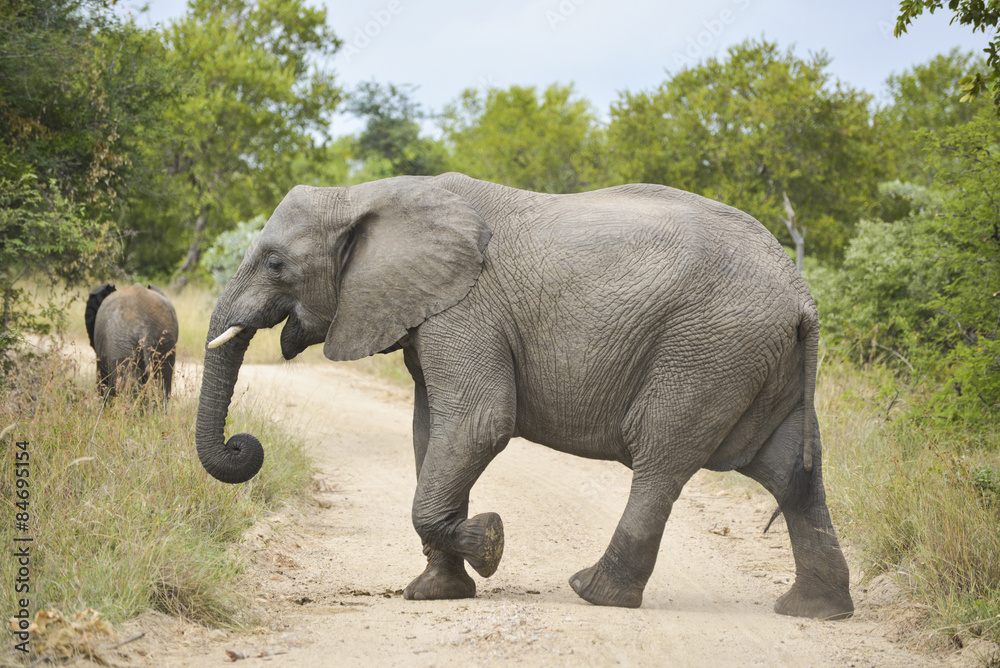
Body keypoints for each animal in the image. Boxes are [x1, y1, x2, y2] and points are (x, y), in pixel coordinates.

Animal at [195, 172, 854, 620]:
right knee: (790, 475)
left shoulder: (465, 310)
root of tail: (804, 295)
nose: (244, 444)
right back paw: (814, 611)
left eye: (275, 263)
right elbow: (430, 433)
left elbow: (477, 423)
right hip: (755, 359)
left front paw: (489, 543)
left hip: (706, 349)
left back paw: (593, 594)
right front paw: (437, 593)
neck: (364, 195)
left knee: (661, 456)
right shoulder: (431, 314)